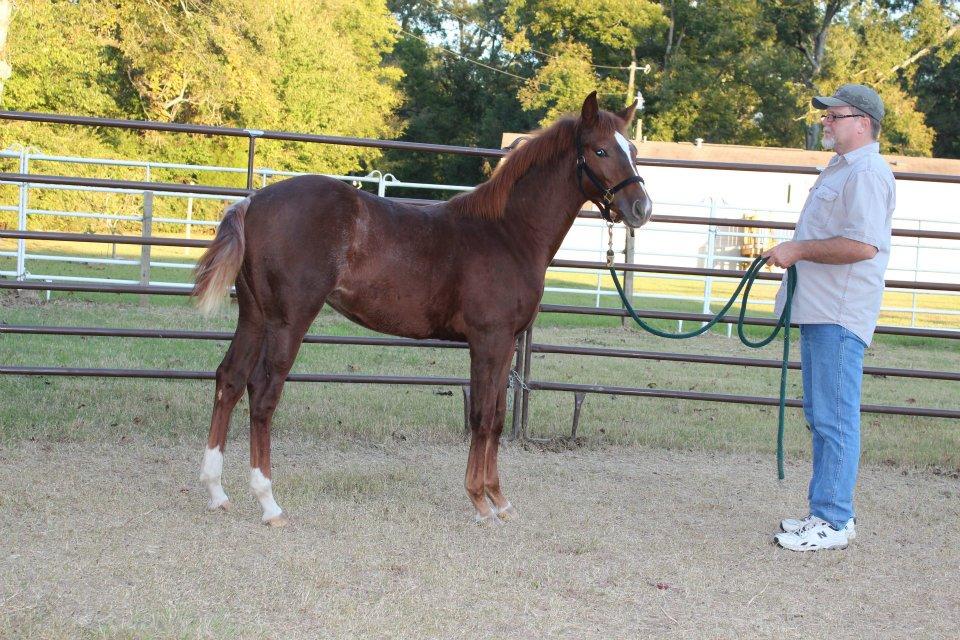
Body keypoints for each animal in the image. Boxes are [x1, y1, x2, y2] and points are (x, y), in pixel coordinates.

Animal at [192, 92, 653, 526]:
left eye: (631, 148)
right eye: (600, 151)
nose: (641, 208)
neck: (507, 233)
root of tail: (252, 204)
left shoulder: (505, 345)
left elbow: (498, 416)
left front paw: (500, 500)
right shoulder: (488, 341)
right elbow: (482, 416)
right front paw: (480, 503)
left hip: (254, 317)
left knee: (229, 380)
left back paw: (216, 491)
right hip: (288, 322)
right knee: (263, 393)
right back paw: (269, 504)